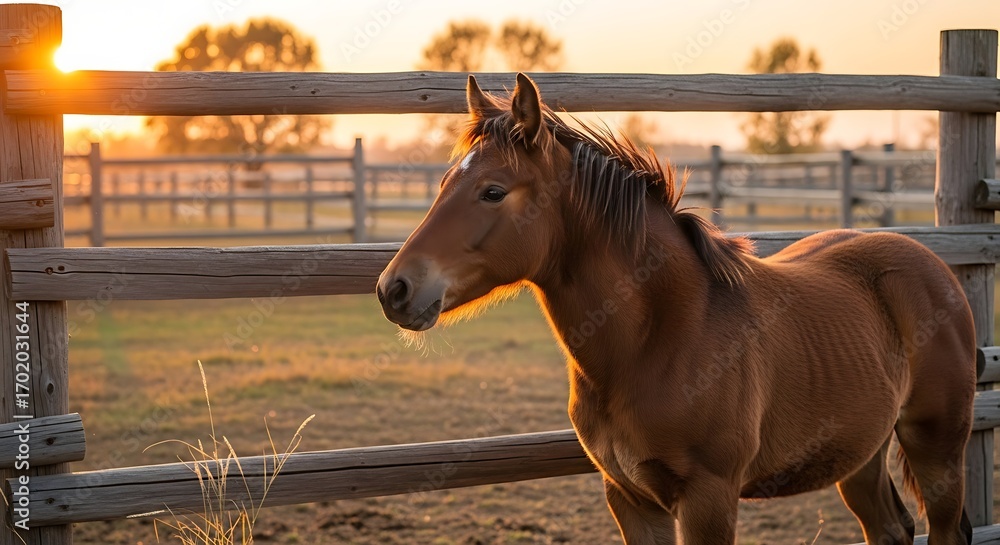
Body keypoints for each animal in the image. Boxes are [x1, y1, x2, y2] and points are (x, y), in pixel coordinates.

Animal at [376, 73, 976, 545]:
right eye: (446, 181)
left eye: (493, 191)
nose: (394, 289)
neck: (664, 337)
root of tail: (934, 265)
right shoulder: (631, 499)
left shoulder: (708, 498)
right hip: (860, 452)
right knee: (890, 528)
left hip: (937, 448)